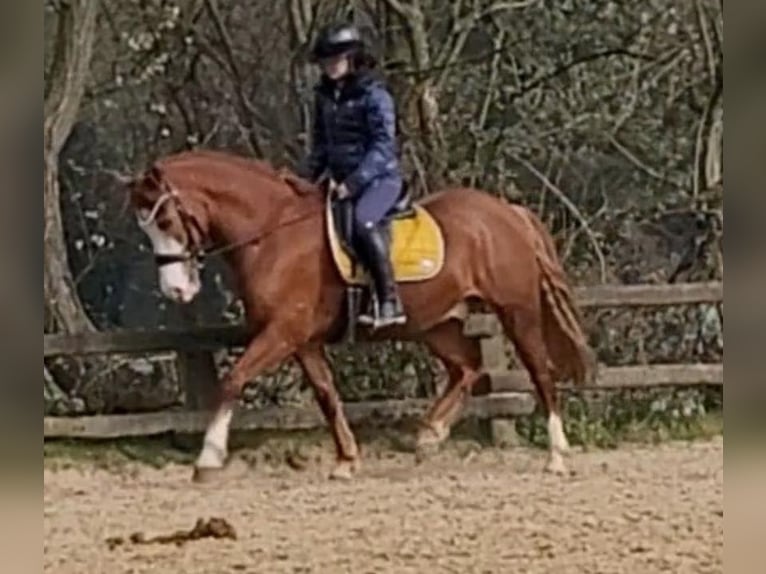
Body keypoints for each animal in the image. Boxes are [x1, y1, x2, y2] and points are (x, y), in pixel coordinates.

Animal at [127, 149, 595, 481]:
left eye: (165, 220)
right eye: (144, 227)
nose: (176, 290)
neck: (274, 233)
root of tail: (507, 211)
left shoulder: (282, 332)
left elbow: (234, 379)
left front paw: (208, 458)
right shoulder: (302, 341)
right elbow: (326, 395)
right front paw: (346, 460)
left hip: (517, 312)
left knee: (539, 372)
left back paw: (556, 457)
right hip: (435, 324)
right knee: (467, 367)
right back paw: (429, 434)